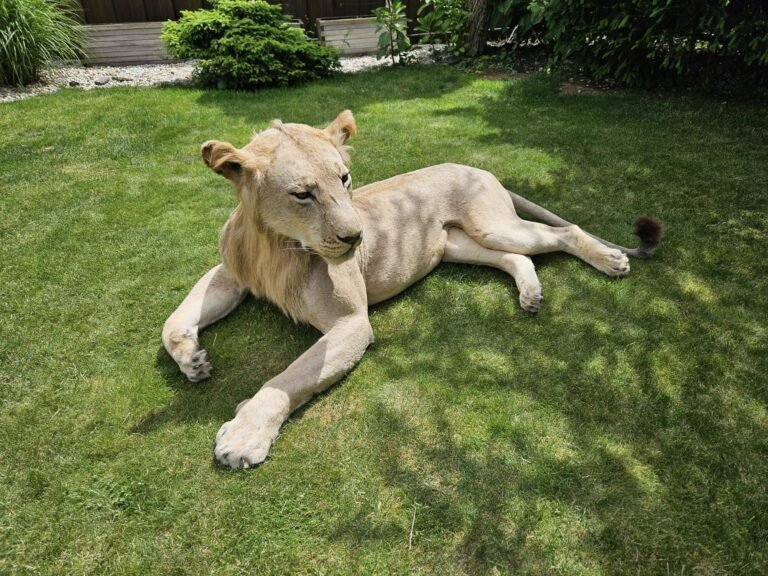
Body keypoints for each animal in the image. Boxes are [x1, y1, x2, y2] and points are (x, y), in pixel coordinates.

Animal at [162, 110, 663, 469]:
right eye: (303, 194)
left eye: (344, 179)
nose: (356, 237)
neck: (277, 245)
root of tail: (478, 166)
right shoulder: (229, 274)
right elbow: (172, 321)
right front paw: (192, 360)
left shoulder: (352, 324)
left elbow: (287, 379)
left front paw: (243, 436)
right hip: (456, 245)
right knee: (515, 259)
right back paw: (530, 295)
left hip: (494, 225)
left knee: (562, 233)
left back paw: (611, 261)